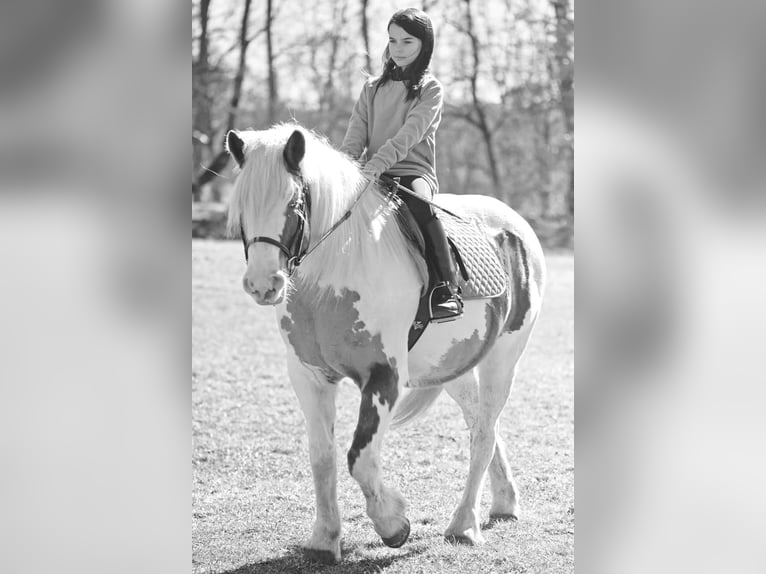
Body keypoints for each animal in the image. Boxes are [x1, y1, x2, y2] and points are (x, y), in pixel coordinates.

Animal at [225, 124, 548, 564]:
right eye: (242, 204)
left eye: (294, 203)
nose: (263, 284)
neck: (338, 269)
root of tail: (516, 224)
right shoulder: (309, 377)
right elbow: (322, 457)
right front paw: (324, 540)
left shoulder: (383, 376)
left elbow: (359, 458)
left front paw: (394, 525)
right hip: (455, 365)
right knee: (481, 421)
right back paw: (504, 503)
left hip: (504, 359)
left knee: (483, 433)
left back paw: (464, 525)